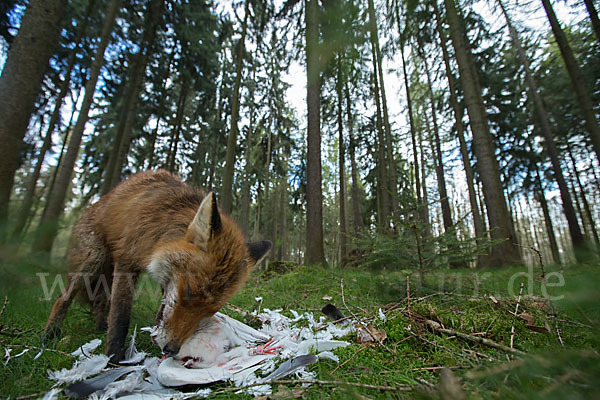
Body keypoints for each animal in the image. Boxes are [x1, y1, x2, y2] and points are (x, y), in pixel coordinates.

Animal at [44, 170, 272, 360]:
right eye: (189, 291)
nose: (171, 349)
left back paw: (101, 326)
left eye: (211, 310)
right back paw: (51, 333)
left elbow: (162, 310)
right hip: (92, 262)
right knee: (63, 299)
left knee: (100, 301)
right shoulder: (126, 263)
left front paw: (155, 334)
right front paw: (114, 358)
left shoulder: (166, 276)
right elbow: (121, 317)